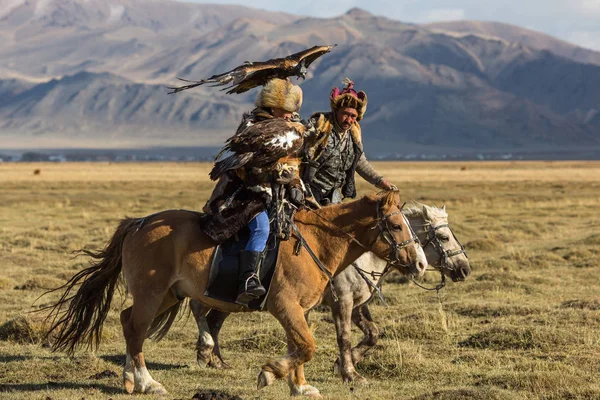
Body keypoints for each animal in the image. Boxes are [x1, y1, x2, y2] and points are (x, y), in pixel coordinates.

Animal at [44, 191, 424, 396]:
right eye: (395, 225)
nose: (419, 263)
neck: (315, 243)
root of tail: (139, 223)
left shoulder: (300, 311)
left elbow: (300, 346)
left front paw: (300, 386)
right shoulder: (286, 306)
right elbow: (306, 346)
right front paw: (270, 372)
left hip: (168, 295)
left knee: (127, 322)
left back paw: (128, 379)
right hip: (152, 293)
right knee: (137, 330)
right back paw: (147, 382)